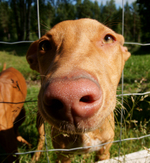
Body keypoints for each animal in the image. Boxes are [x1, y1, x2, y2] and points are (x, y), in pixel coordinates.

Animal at [26, 18, 131, 162]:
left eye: (108, 38)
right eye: (44, 45)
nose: (69, 95)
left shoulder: (104, 151)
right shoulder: (63, 154)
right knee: (41, 136)